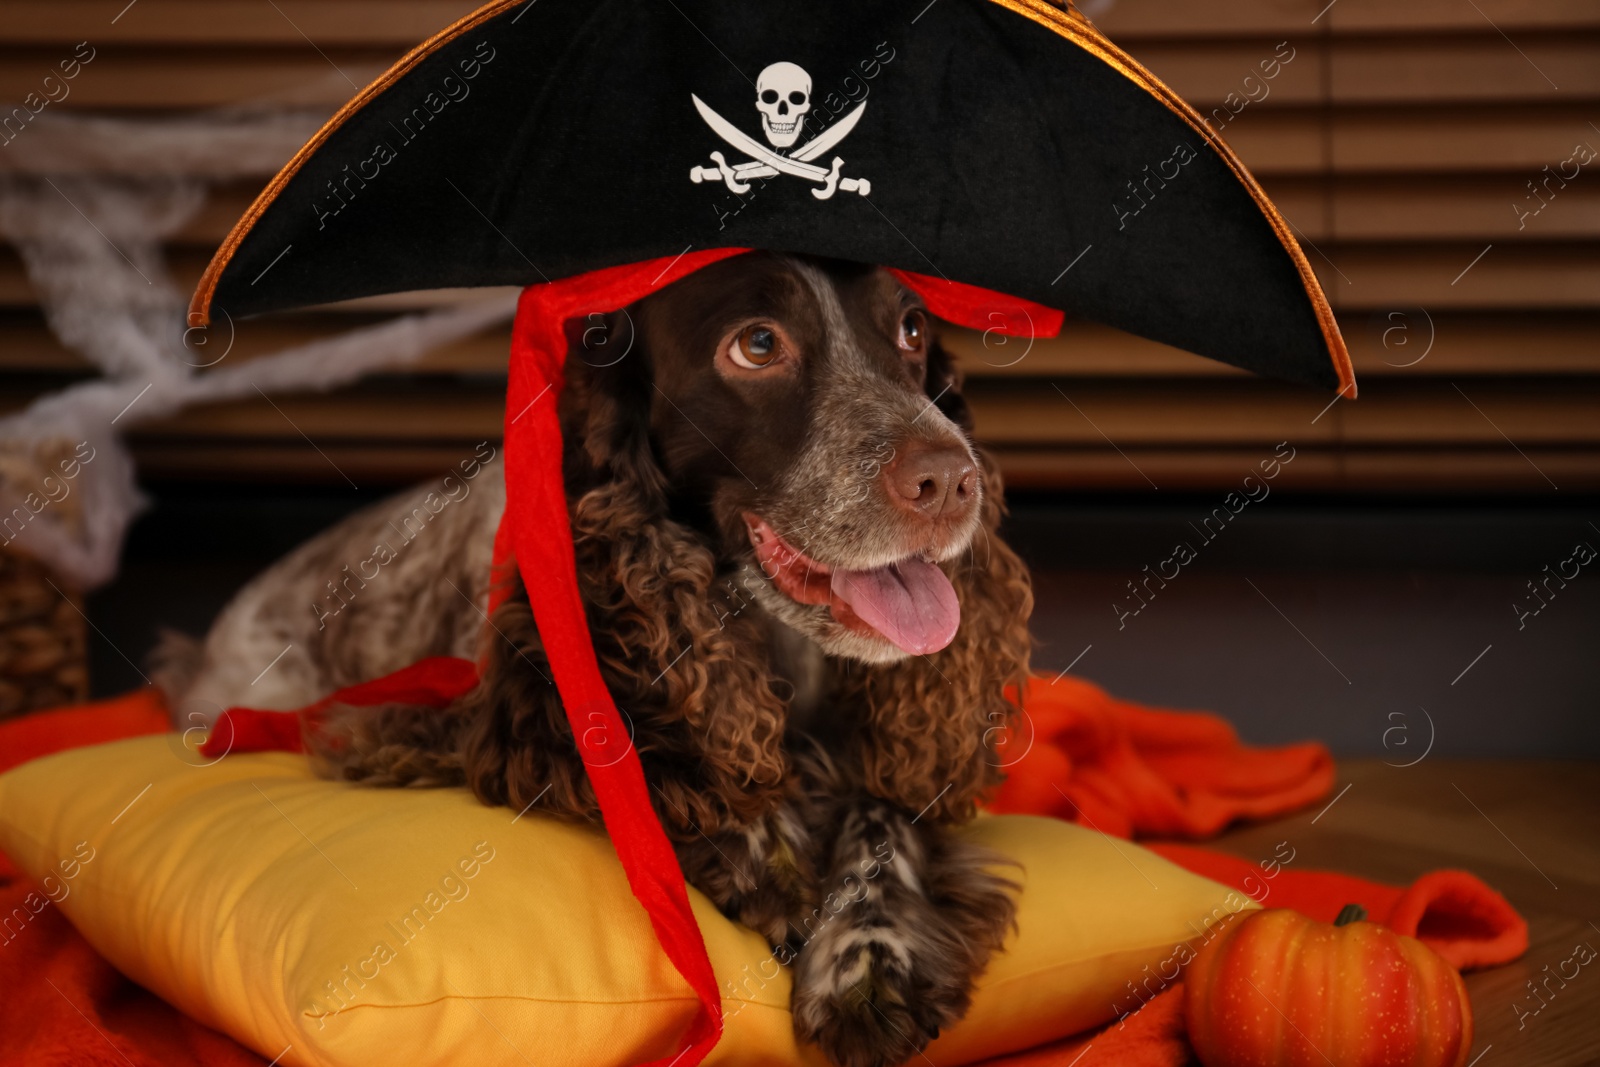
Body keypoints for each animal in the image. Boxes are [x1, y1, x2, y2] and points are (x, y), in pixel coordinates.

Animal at [165, 252, 1036, 1067]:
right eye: (757, 344)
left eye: (912, 330)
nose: (950, 479)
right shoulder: (478, 720)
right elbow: (673, 769)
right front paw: (779, 867)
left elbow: (883, 823)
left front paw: (868, 965)